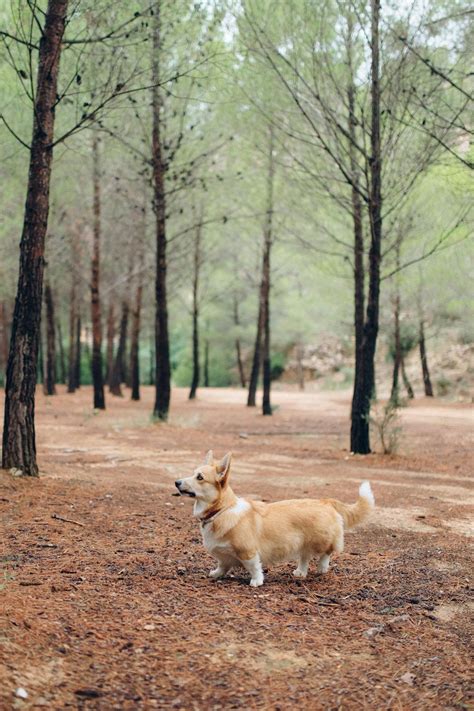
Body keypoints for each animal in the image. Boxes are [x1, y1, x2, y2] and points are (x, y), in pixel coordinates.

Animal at [174, 450, 374, 588]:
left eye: (200, 477)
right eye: (193, 473)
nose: (176, 482)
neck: (222, 510)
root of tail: (325, 501)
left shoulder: (248, 552)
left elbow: (254, 567)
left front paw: (256, 581)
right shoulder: (224, 556)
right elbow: (222, 565)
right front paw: (216, 573)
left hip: (321, 540)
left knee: (327, 552)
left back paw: (322, 567)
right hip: (302, 542)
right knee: (305, 556)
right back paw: (300, 572)